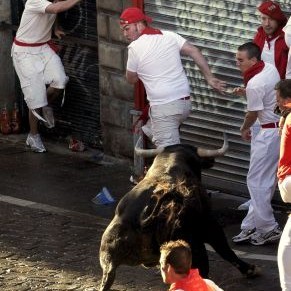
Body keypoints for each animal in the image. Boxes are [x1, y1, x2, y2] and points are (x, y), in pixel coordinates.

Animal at [99, 135, 262, 291]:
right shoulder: (210, 225)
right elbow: (225, 250)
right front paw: (250, 270)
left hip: (108, 256)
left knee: (107, 277)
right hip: (195, 247)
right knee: (205, 269)